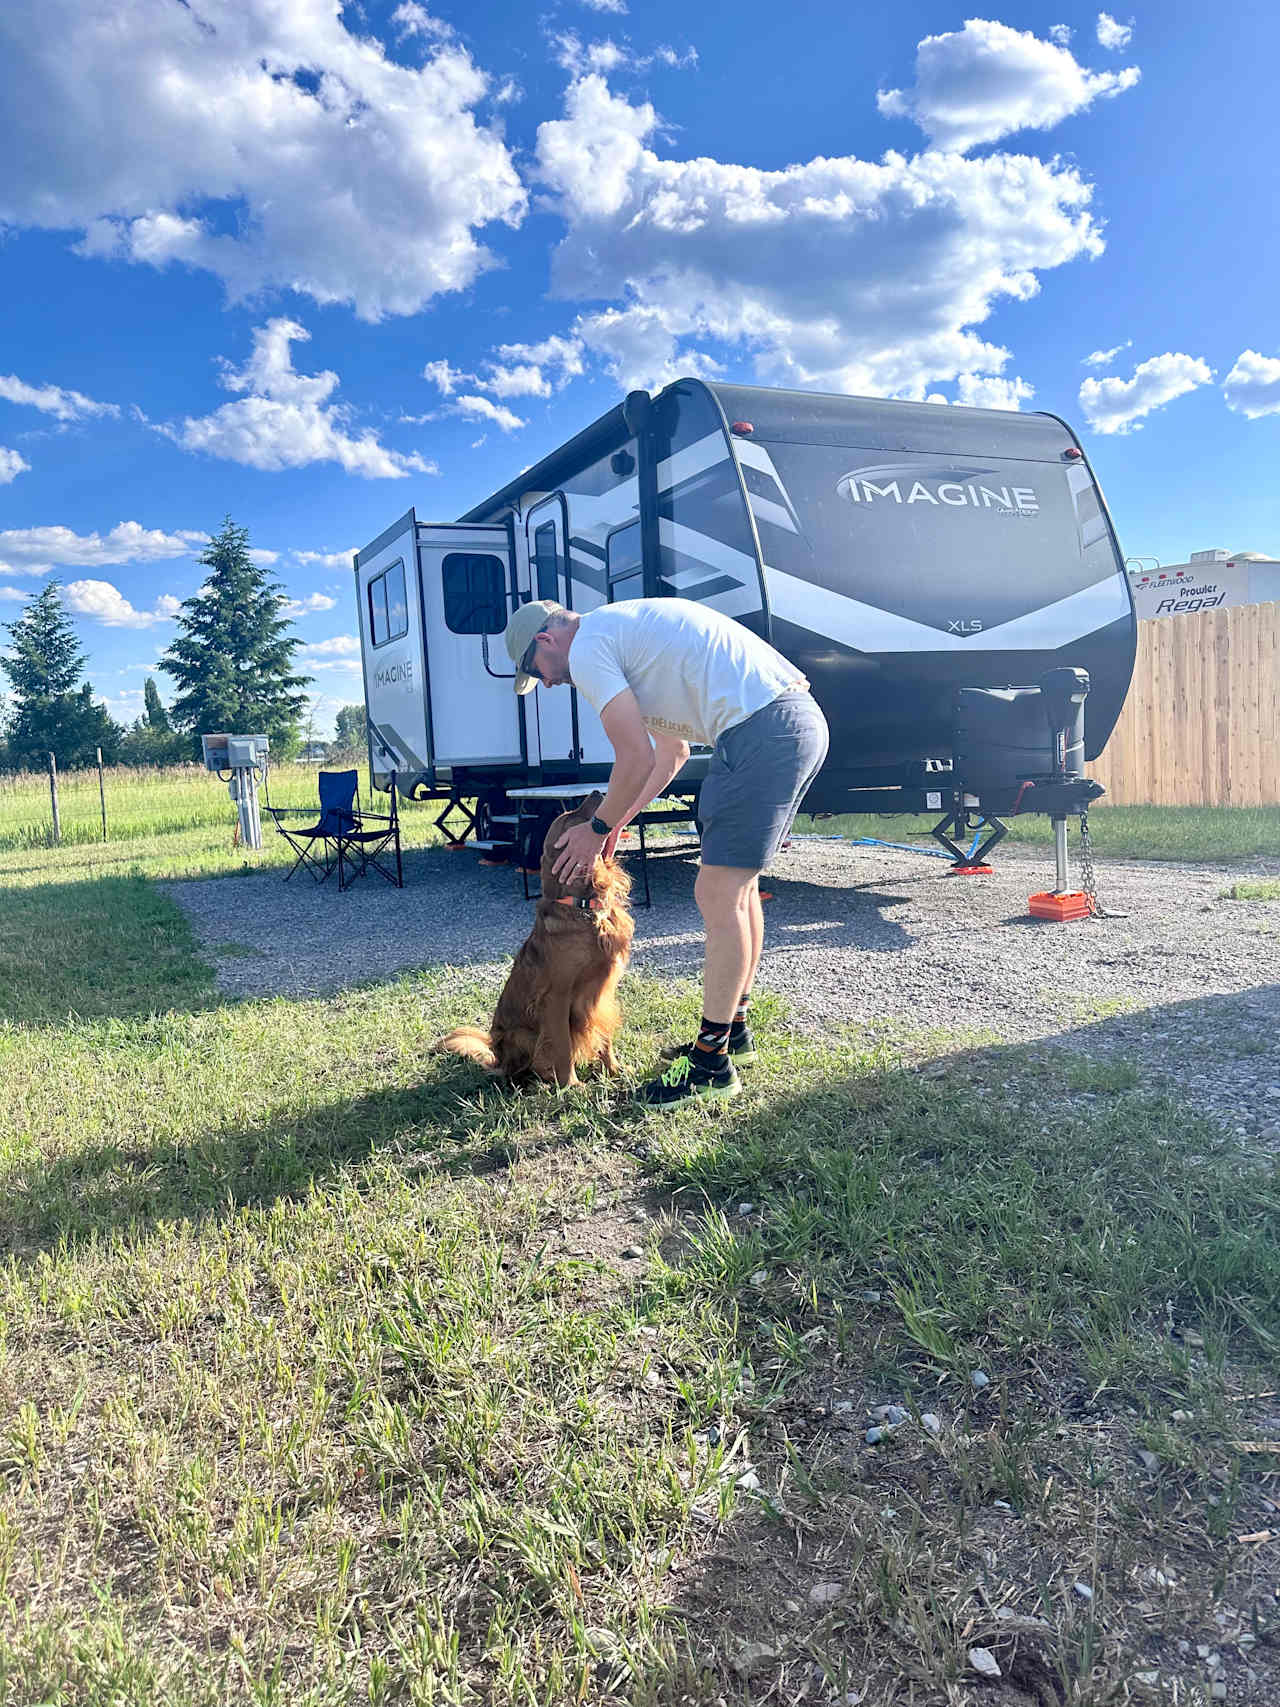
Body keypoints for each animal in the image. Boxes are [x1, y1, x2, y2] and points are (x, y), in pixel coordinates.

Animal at [436, 792, 638, 1085]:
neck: (585, 908)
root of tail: (496, 1055)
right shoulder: (557, 997)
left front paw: (615, 1070)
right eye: (571, 817)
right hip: (522, 1035)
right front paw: (571, 1084)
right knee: (525, 1066)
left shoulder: (602, 992)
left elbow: (604, 1036)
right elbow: (562, 1046)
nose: (598, 792)